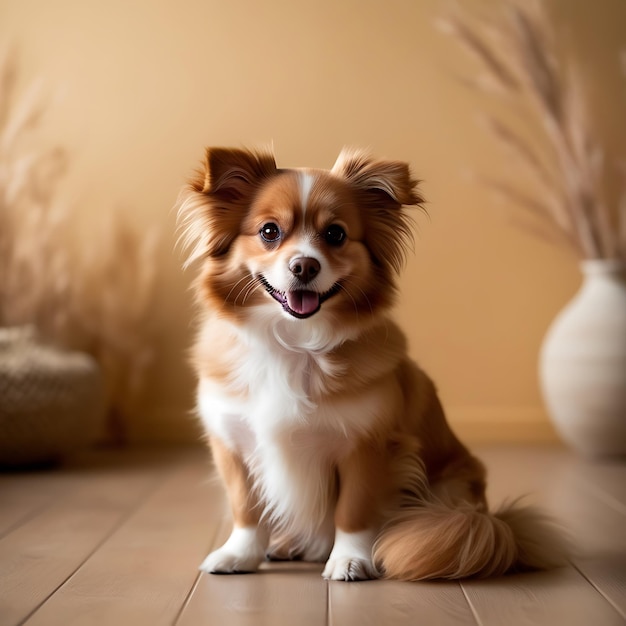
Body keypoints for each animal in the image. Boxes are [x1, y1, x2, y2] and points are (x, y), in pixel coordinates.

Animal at [176, 146, 564, 580]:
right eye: (269, 232)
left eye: (335, 234)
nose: (304, 266)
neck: (294, 343)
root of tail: (495, 521)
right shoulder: (233, 443)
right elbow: (246, 508)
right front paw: (239, 555)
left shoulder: (368, 446)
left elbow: (353, 510)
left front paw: (350, 559)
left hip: (452, 488)